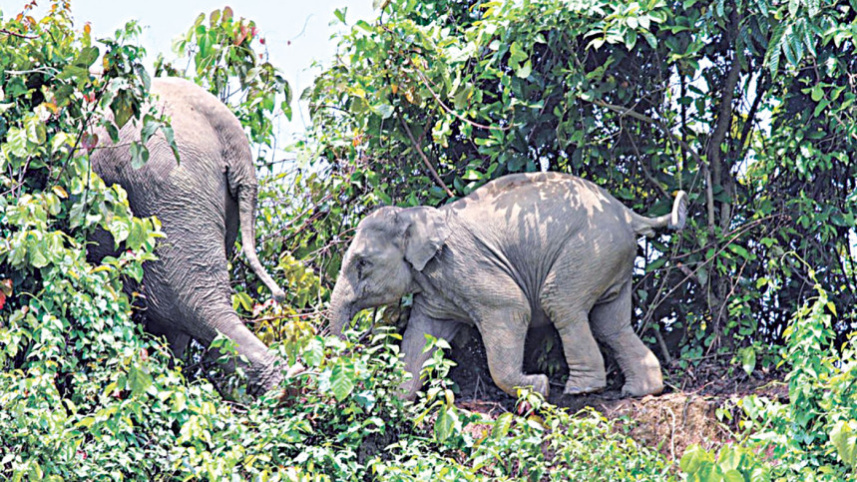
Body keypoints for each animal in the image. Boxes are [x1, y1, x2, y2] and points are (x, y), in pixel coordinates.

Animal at [328, 172, 687, 400]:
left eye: (362, 263)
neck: (416, 215)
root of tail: (628, 214)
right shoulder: (436, 289)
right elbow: (422, 336)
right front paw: (398, 402)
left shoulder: (464, 265)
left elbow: (512, 308)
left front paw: (538, 387)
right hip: (611, 257)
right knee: (611, 323)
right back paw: (640, 390)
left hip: (590, 249)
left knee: (562, 304)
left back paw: (580, 389)